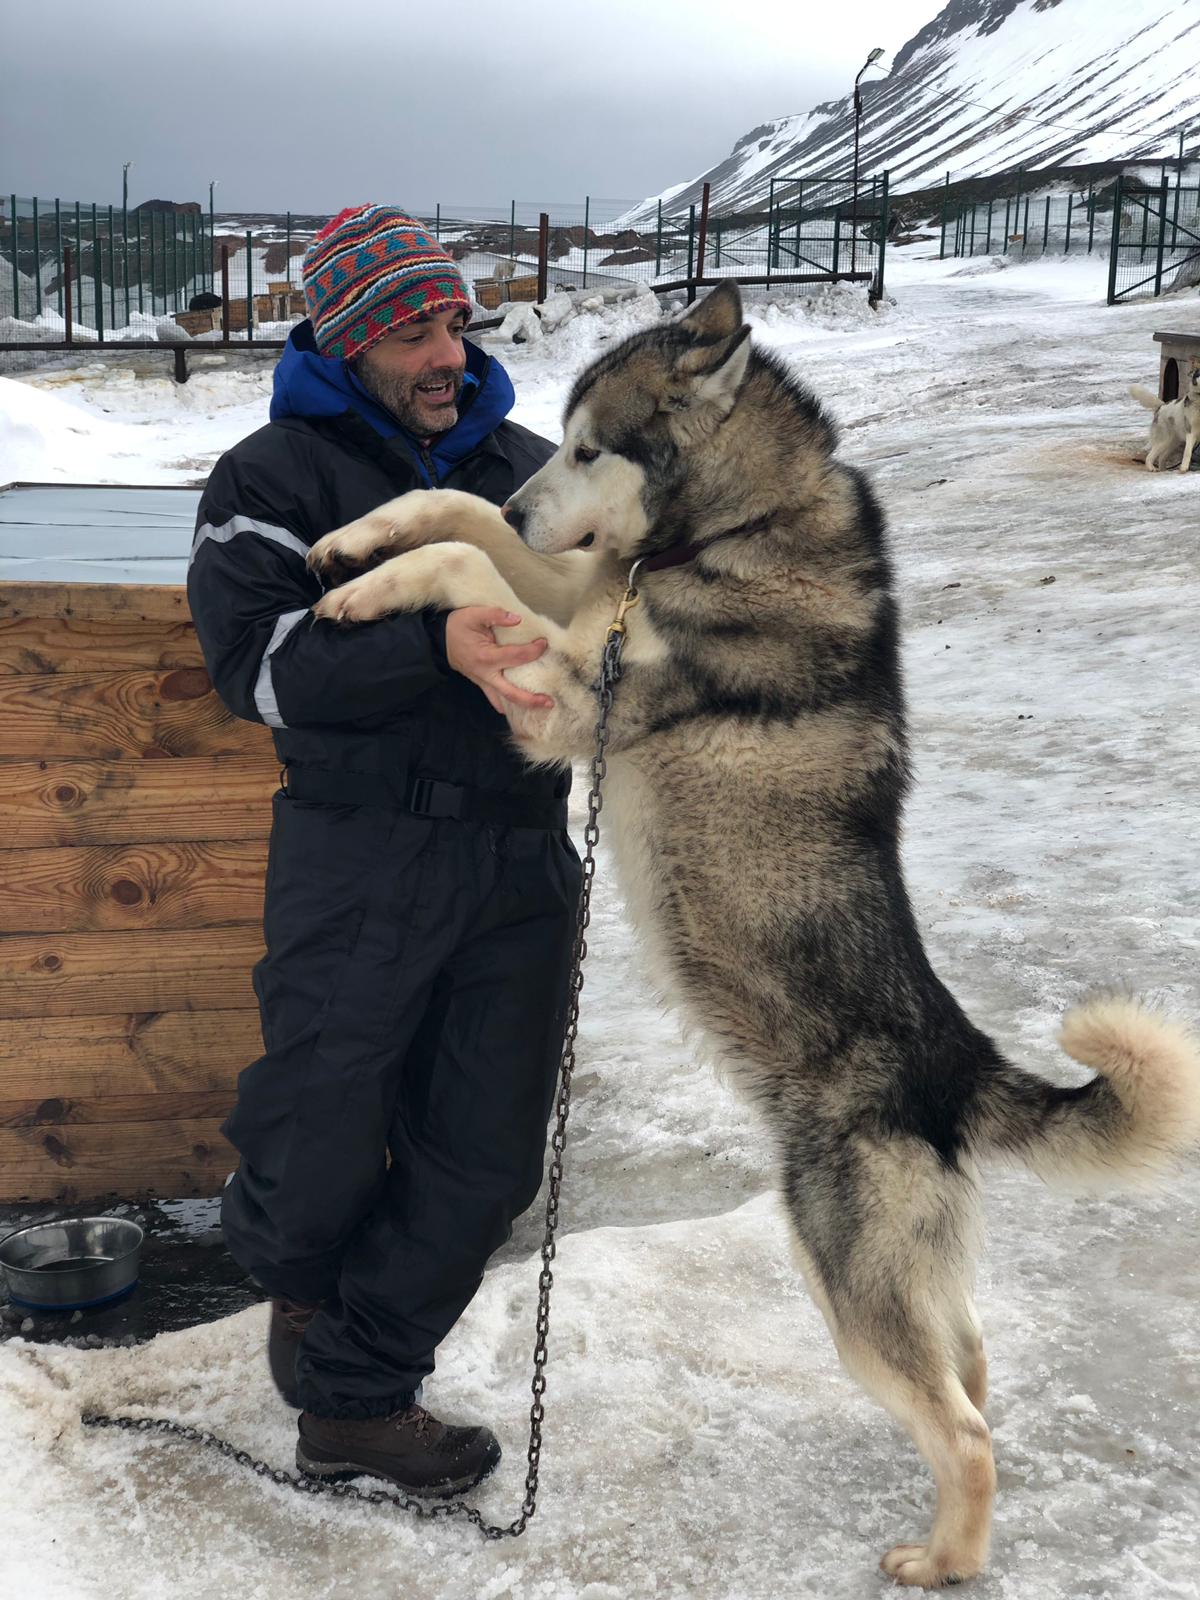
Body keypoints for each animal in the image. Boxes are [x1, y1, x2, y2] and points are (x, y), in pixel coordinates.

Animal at [305, 288, 1196, 1587]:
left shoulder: (571, 691)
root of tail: (954, 1063)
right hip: (912, 1278)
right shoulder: (578, 604)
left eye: (589, 449)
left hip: (844, 1267)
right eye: (556, 443)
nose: (530, 501)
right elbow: (459, 523)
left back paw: (942, 1558)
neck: (736, 531)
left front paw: (373, 587)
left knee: (967, 1428)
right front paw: (355, 544)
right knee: (973, 1368)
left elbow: (469, 561)